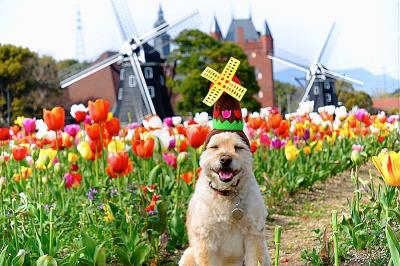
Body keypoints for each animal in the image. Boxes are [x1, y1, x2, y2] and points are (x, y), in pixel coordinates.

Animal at [180, 131, 270, 266]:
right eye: (214, 147)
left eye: (238, 147)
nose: (225, 159)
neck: (226, 194)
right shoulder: (205, 238)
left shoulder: (253, 233)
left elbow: (255, 260)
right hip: (189, 255)